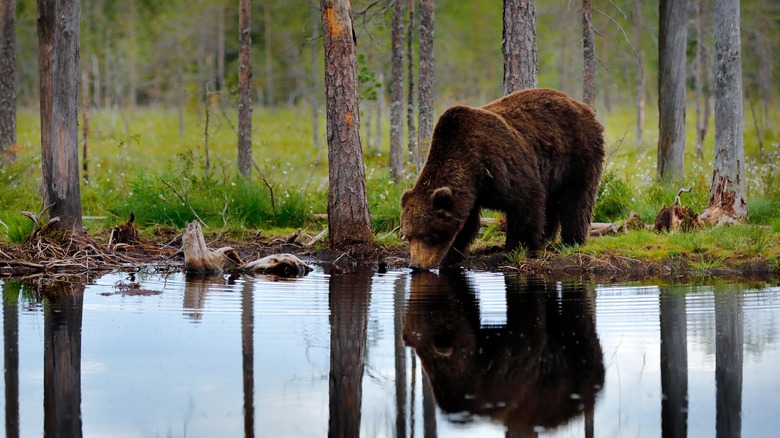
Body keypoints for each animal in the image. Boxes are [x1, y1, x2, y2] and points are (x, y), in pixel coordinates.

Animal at [400, 87, 608, 268]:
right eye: (408, 235)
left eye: (427, 234)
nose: (415, 265)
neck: (472, 168)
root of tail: (584, 107)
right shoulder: (470, 194)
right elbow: (466, 225)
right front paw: (450, 256)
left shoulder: (500, 164)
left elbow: (526, 203)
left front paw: (516, 249)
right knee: (551, 202)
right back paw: (545, 237)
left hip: (577, 153)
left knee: (576, 199)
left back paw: (571, 241)